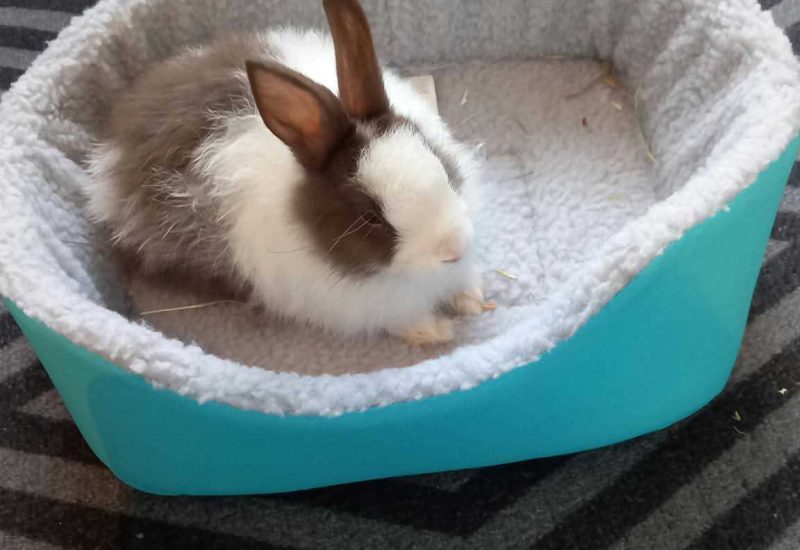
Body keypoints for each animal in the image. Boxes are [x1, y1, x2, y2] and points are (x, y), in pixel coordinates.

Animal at [85, 0, 484, 346]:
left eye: (440, 165)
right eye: (369, 217)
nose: (453, 249)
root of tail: (110, 151)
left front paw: (473, 298)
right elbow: (403, 318)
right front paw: (435, 331)